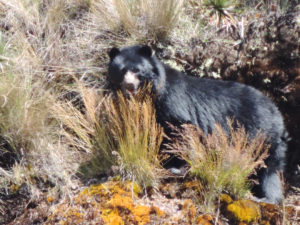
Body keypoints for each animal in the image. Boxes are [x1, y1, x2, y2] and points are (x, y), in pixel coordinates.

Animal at [108, 44, 288, 204]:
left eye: (136, 70)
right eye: (122, 70)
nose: (129, 85)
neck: (151, 94)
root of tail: (277, 114)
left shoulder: (173, 102)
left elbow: (184, 132)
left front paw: (178, 168)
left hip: (257, 133)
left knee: (265, 167)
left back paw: (267, 198)